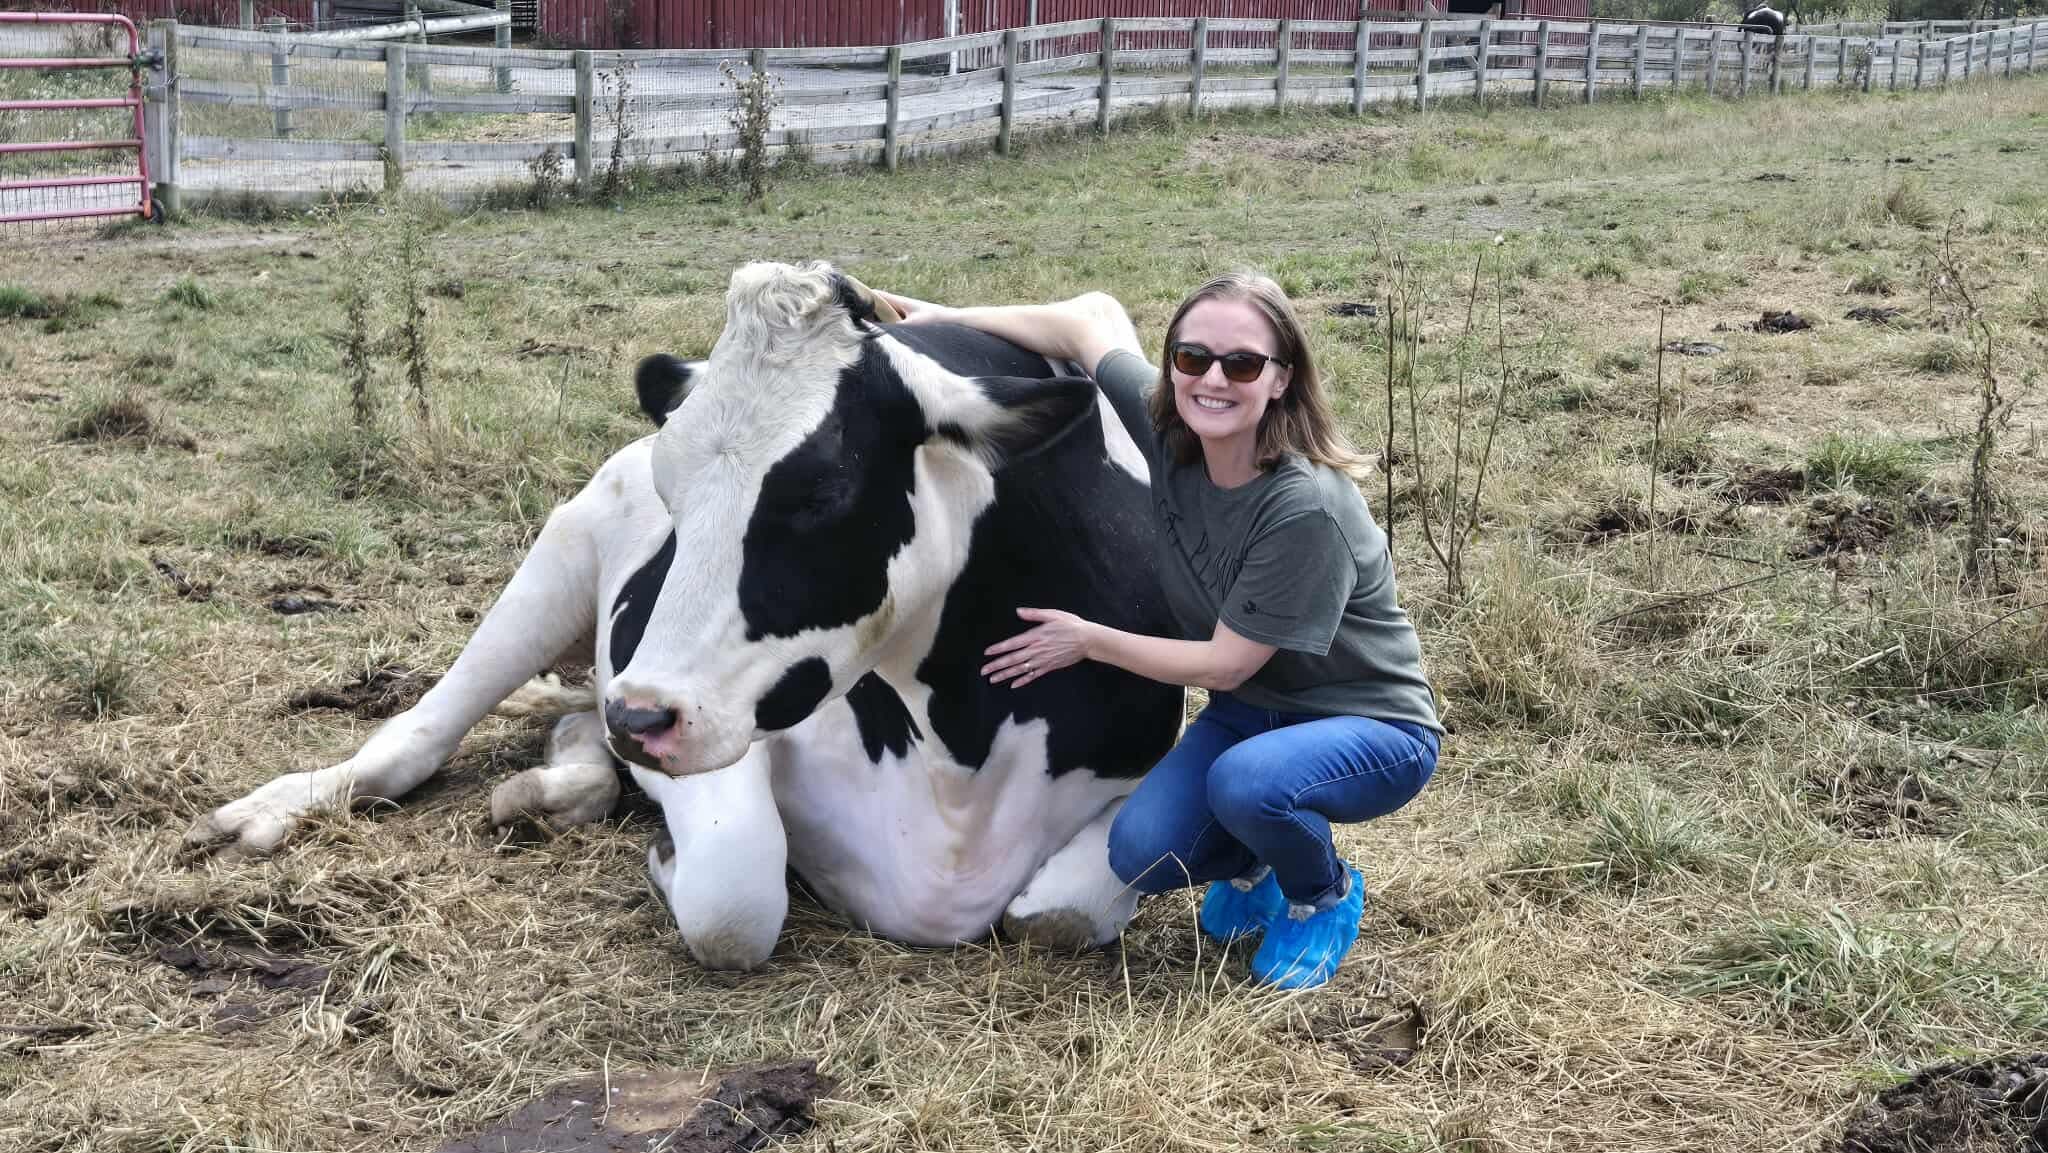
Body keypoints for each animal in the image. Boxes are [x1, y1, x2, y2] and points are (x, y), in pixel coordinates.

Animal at [186, 260, 1186, 971]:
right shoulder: (728, 732)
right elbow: (736, 898)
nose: (641, 715)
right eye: (676, 490)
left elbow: (1060, 911)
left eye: (820, 492)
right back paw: (277, 808)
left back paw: (561, 773)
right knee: (418, 735)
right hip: (560, 557)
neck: (959, 754)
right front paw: (670, 861)